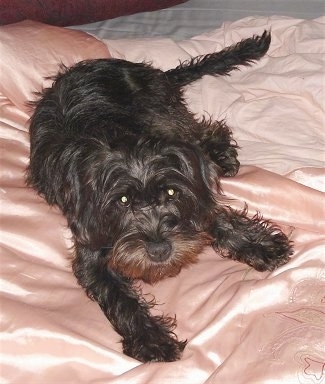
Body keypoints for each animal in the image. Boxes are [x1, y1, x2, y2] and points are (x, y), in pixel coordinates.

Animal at [27, 31, 292, 362]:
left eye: (170, 192)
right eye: (123, 201)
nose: (159, 250)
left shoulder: (192, 191)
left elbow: (214, 216)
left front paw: (259, 244)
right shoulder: (90, 250)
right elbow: (120, 298)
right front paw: (152, 340)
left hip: (163, 114)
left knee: (202, 130)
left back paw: (220, 154)